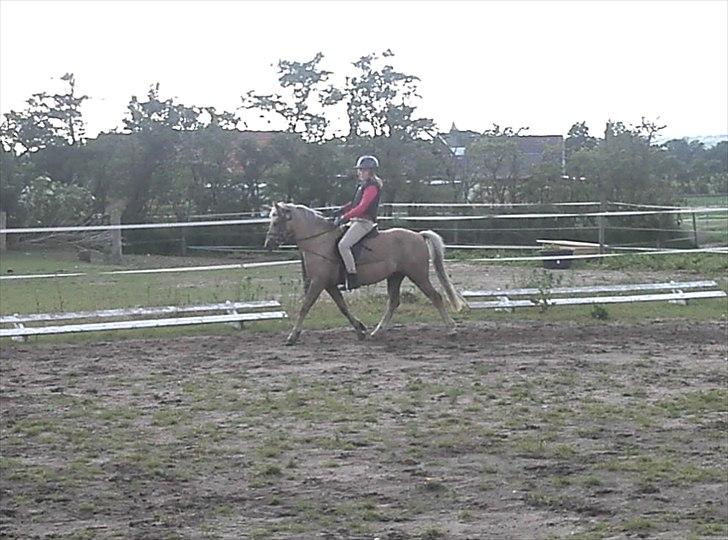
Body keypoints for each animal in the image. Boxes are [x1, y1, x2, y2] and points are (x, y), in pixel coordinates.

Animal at [264, 202, 464, 346]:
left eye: (276, 222)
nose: (268, 244)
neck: (319, 241)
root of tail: (418, 235)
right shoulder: (328, 285)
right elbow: (343, 308)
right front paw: (360, 329)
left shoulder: (318, 282)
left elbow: (305, 307)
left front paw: (292, 336)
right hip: (395, 276)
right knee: (393, 302)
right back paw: (377, 332)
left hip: (417, 275)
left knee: (435, 297)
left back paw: (452, 330)